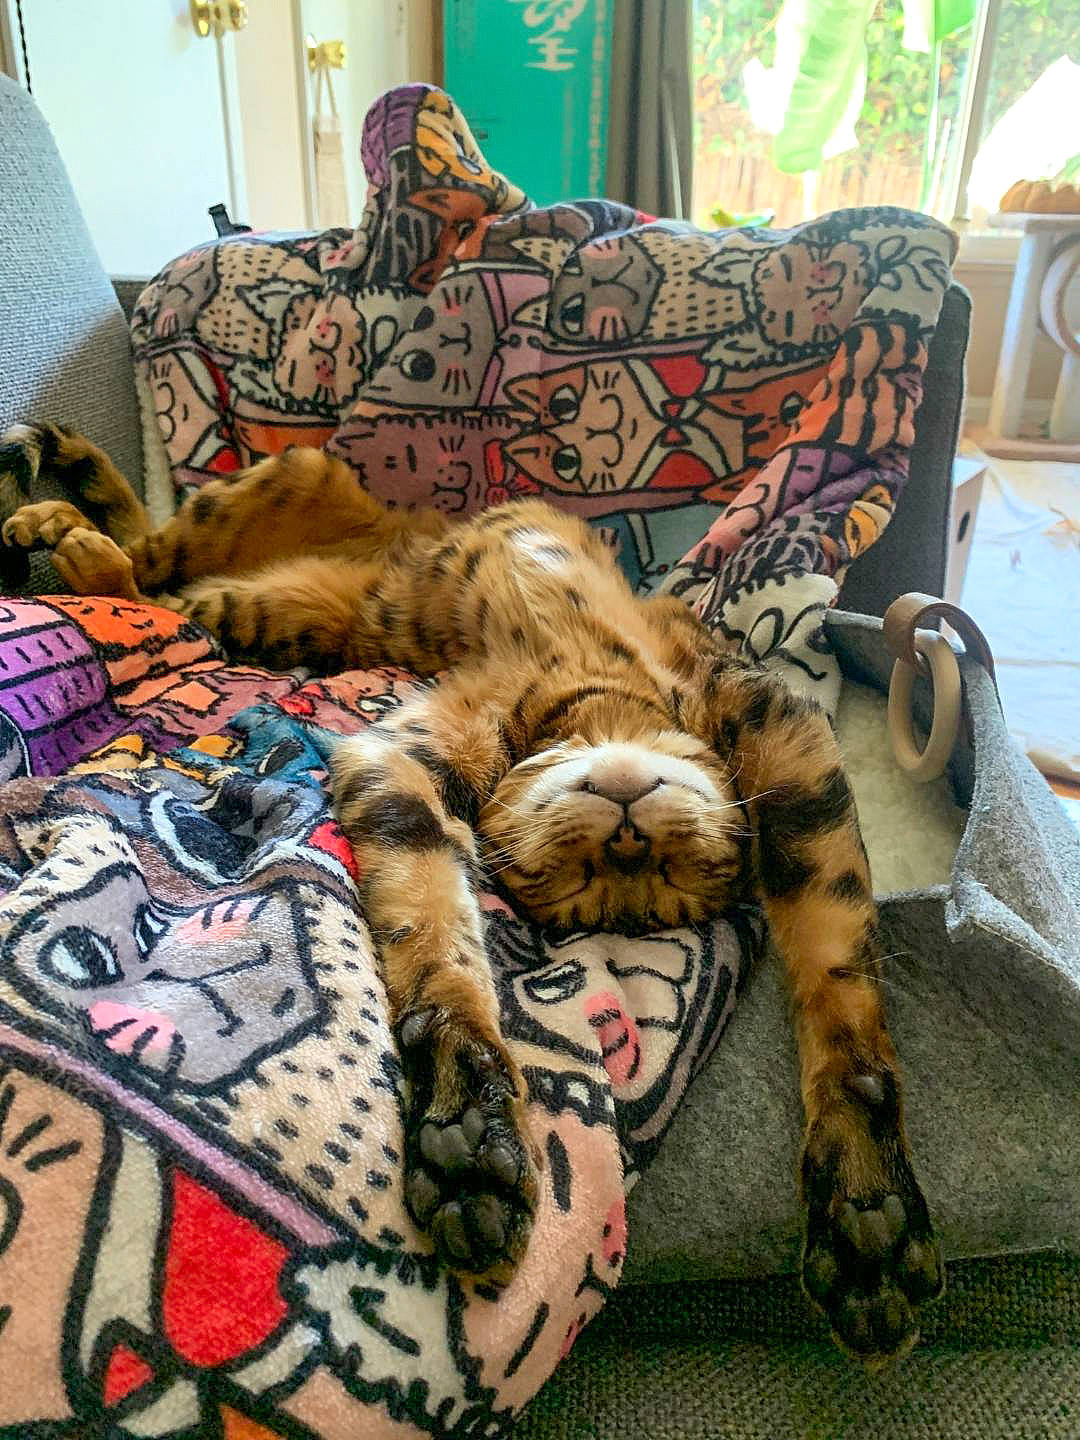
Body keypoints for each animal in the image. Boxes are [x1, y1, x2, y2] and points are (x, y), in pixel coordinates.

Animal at [0, 423, 943, 1362]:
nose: (629, 840)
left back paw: (69, 533)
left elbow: (840, 987)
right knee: (151, 558)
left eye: (664, 878)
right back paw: (64, 526)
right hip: (285, 490)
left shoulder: (778, 747)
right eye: (590, 873)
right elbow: (441, 942)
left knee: (171, 591)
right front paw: (475, 1113)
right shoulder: (752, 720)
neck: (593, 699)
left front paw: (866, 1205)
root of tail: (390, 537)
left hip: (268, 607)